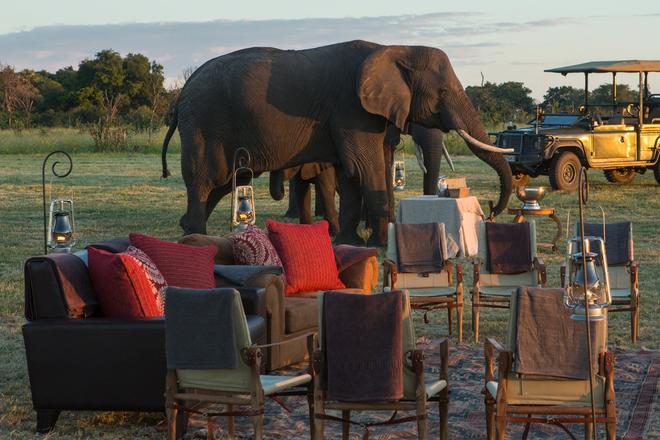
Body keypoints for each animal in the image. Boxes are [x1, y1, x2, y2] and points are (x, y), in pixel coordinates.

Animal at [162, 40, 512, 244]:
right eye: (442, 93)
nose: (492, 211)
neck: (394, 48)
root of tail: (181, 95)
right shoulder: (351, 109)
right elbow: (364, 166)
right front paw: (379, 244)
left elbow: (351, 171)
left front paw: (350, 242)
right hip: (204, 123)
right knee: (204, 180)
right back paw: (195, 238)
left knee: (221, 183)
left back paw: (186, 228)